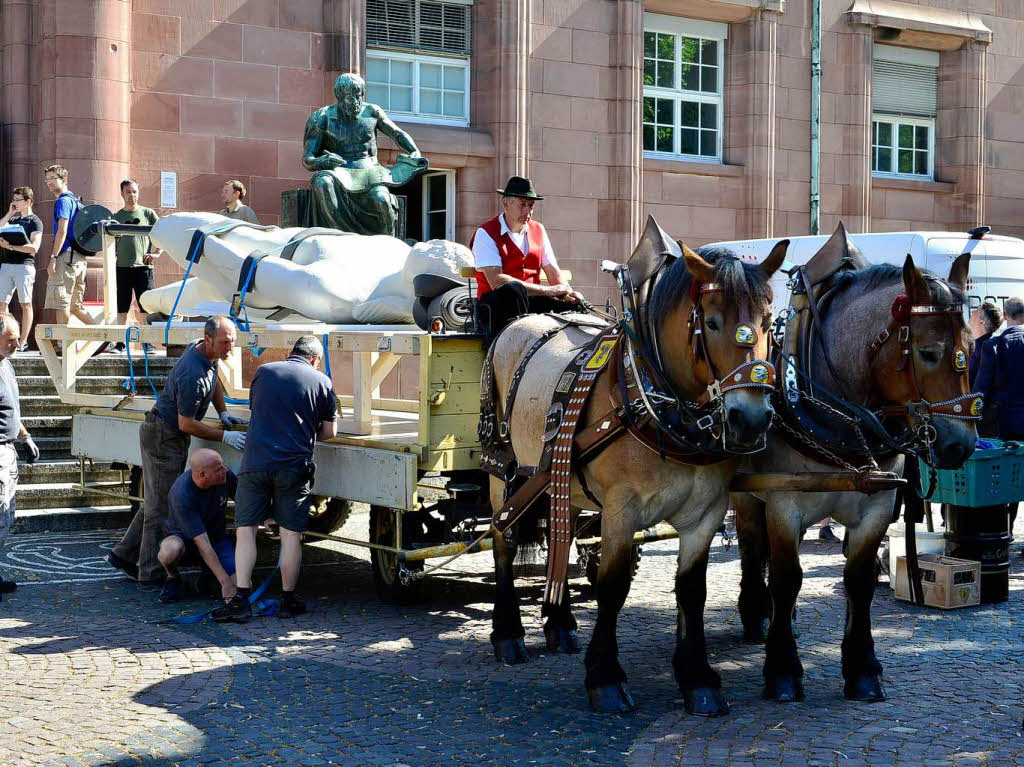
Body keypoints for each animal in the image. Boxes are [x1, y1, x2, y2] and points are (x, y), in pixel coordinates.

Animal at [483, 220, 786, 712]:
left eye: (766, 323)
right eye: (712, 322)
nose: (752, 418)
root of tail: (519, 324)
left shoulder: (707, 511)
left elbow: (693, 590)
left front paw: (697, 677)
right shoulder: (621, 509)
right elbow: (613, 587)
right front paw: (605, 676)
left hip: (559, 480)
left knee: (561, 535)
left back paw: (559, 623)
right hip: (502, 472)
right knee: (503, 540)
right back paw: (508, 634)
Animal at [737, 248, 974, 704]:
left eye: (970, 348)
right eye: (929, 352)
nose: (962, 445)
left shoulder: (877, 504)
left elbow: (859, 580)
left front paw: (862, 667)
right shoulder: (782, 501)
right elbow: (788, 577)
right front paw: (782, 669)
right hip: (746, 496)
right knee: (753, 550)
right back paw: (757, 614)